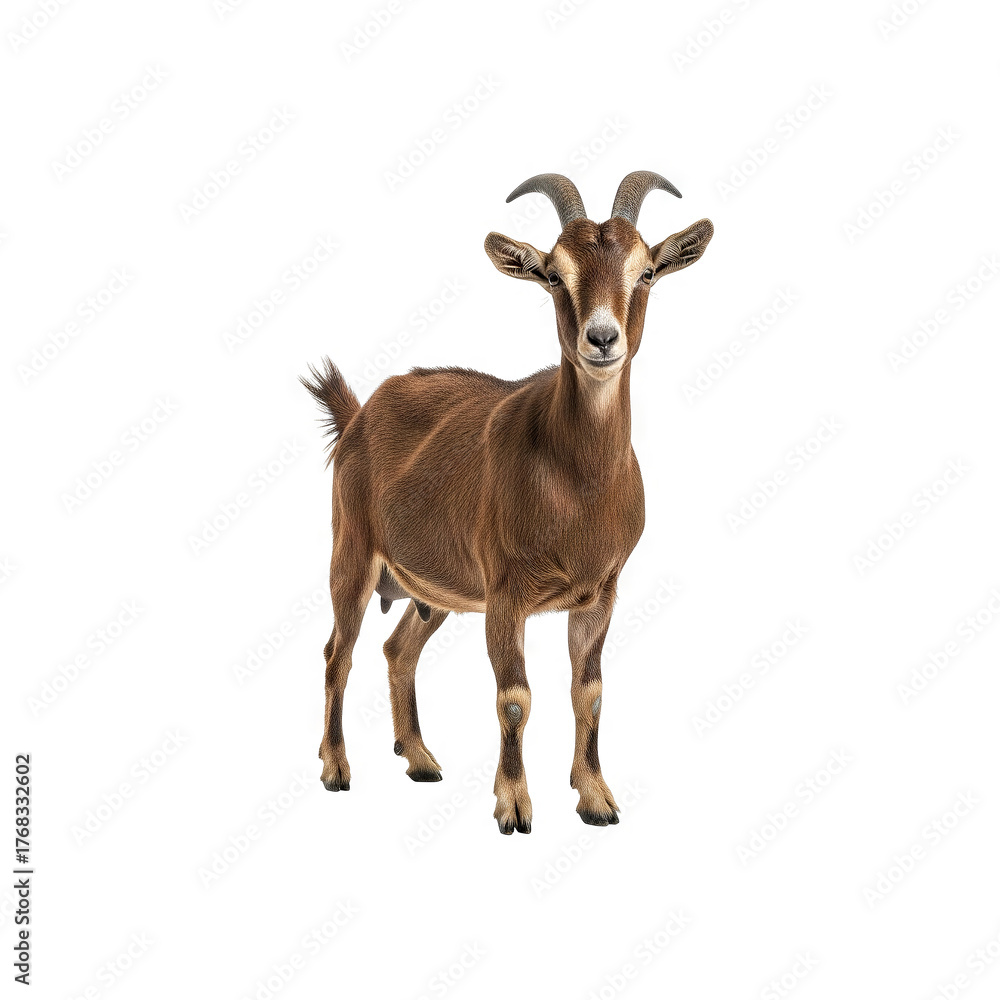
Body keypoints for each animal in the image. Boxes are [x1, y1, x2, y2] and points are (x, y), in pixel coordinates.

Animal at [302, 171, 713, 834]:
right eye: (554, 274)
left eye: (646, 271)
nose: (602, 338)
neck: (575, 485)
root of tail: (357, 413)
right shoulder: (504, 591)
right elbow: (515, 698)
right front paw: (514, 805)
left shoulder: (601, 592)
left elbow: (590, 691)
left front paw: (595, 796)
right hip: (353, 551)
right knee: (337, 653)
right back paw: (336, 767)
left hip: (433, 586)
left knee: (397, 649)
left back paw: (419, 759)